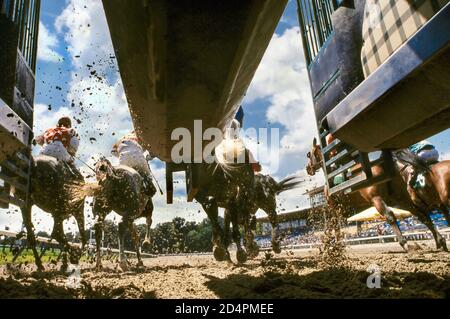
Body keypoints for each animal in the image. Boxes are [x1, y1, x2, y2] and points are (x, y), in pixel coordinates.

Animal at [306, 139, 446, 254]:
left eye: (309, 154)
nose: (308, 168)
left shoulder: (334, 207)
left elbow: (334, 226)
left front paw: (333, 245)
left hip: (377, 198)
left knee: (391, 216)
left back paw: (406, 244)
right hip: (400, 199)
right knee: (422, 215)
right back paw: (440, 241)